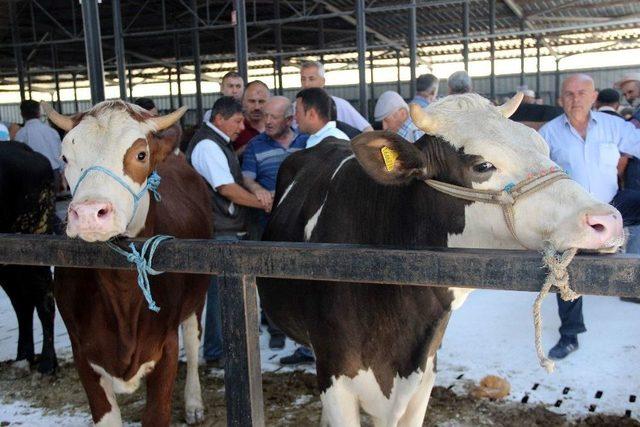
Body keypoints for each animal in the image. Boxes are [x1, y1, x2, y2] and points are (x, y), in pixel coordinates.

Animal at [46, 101, 215, 427]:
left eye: (140, 155)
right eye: (65, 157)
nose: (89, 213)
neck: (121, 289)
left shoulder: (165, 347)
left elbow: (157, 413)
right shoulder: (83, 354)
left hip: (196, 298)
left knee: (192, 338)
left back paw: (193, 404)